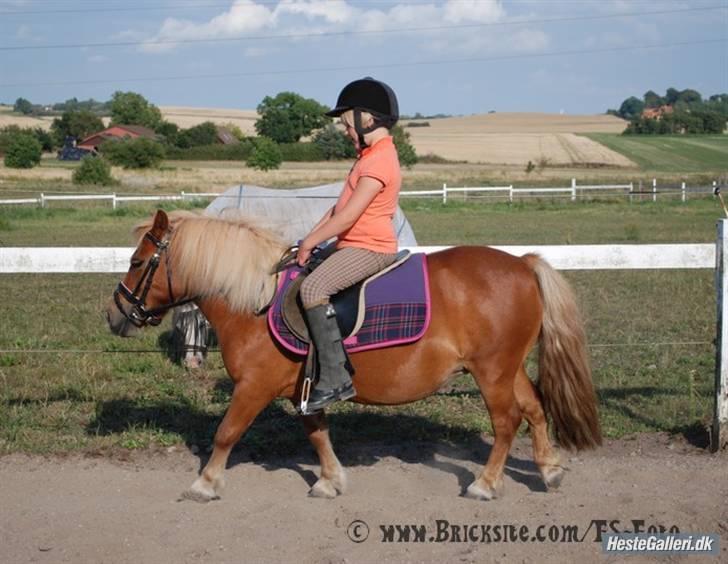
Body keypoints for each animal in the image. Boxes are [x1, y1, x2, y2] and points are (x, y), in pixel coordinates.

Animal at [106, 209, 602, 503]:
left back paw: (485, 483)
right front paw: (330, 481)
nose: (115, 314)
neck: (257, 301)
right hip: (508, 366)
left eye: (137, 262)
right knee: (535, 409)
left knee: (506, 422)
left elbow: (226, 433)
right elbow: (317, 433)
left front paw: (205, 483)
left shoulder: (255, 387)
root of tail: (522, 264)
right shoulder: (304, 390)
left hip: (492, 371)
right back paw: (549, 470)